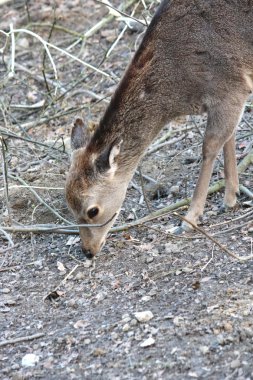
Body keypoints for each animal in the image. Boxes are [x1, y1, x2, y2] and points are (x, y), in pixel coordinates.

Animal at [65, 0, 253, 258]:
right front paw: (230, 197)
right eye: (68, 205)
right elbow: (229, 138)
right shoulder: (229, 97)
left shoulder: (231, 86)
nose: (88, 251)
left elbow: (209, 146)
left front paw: (189, 220)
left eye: (92, 210)